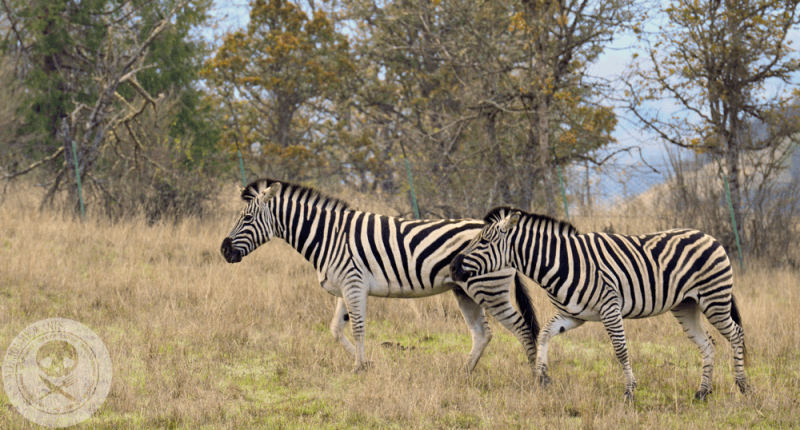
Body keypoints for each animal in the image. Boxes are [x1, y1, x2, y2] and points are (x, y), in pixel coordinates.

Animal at [222, 180, 540, 374]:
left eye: (247, 219)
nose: (224, 250)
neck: (328, 236)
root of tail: (505, 232)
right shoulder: (346, 287)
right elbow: (336, 329)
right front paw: (366, 363)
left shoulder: (353, 284)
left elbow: (358, 328)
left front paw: (358, 368)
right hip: (464, 290)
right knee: (482, 333)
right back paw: (464, 372)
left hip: (489, 288)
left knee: (522, 328)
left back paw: (535, 375)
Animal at [450, 207, 752, 402]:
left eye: (483, 241)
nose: (452, 267)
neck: (561, 262)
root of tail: (709, 236)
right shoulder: (573, 314)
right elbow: (544, 333)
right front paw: (543, 377)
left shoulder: (610, 307)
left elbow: (620, 350)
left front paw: (629, 392)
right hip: (686, 306)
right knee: (707, 344)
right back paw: (702, 393)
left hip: (714, 299)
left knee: (736, 334)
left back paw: (743, 387)